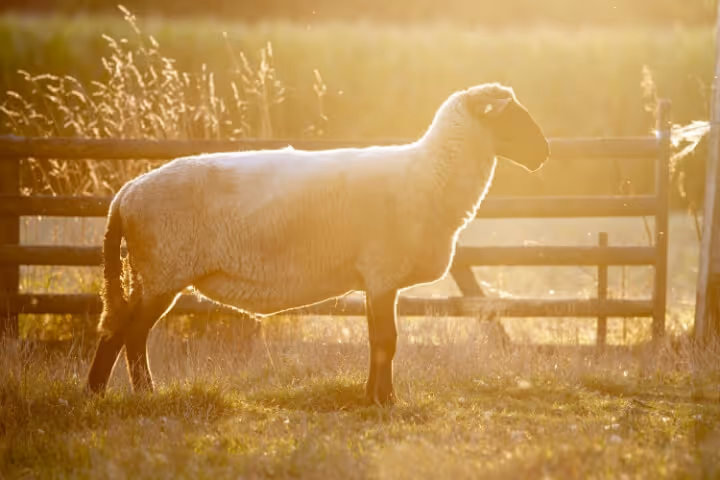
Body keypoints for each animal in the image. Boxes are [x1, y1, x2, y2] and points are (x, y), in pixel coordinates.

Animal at [85, 82, 549, 405]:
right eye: (510, 118)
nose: (543, 154)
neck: (429, 174)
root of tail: (125, 194)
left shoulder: (375, 277)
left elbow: (377, 340)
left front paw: (374, 397)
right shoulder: (382, 270)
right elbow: (387, 340)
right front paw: (386, 401)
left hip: (150, 271)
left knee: (122, 329)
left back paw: (102, 393)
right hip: (164, 266)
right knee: (130, 333)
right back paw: (128, 394)